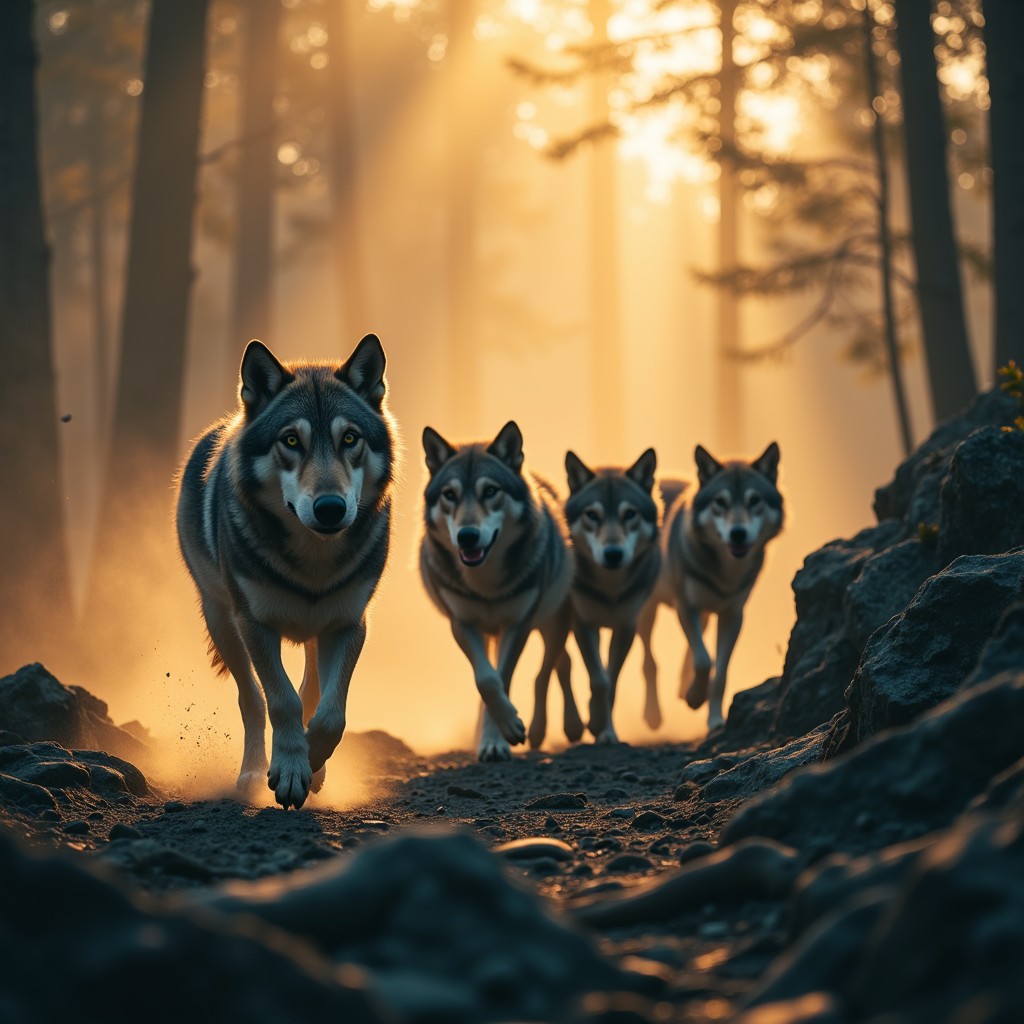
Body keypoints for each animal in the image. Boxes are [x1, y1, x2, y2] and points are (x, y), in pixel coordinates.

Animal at [176, 334, 395, 809]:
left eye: (350, 438)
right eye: (291, 439)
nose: (330, 508)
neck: (314, 561)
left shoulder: (348, 624)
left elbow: (329, 713)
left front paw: (309, 764)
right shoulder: (255, 623)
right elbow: (280, 702)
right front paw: (290, 768)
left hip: (314, 631)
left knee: (311, 690)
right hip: (222, 620)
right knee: (252, 699)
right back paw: (252, 773)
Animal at [419, 421, 578, 761]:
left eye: (490, 491)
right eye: (449, 495)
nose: (467, 536)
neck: (486, 586)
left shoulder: (517, 624)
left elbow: (503, 678)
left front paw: (503, 736)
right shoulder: (462, 623)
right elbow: (487, 679)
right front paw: (493, 737)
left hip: (551, 622)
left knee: (555, 666)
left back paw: (557, 728)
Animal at [534, 448, 661, 746]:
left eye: (629, 514)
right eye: (592, 514)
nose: (613, 554)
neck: (609, 590)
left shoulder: (626, 626)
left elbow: (610, 681)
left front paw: (606, 731)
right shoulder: (584, 623)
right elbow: (599, 679)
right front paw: (594, 722)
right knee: (562, 664)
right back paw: (566, 726)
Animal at [637, 443, 783, 733]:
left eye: (754, 501)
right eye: (720, 502)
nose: (738, 533)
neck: (725, 574)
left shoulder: (732, 614)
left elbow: (720, 671)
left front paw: (714, 719)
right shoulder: (686, 606)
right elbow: (704, 660)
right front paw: (695, 697)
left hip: (702, 614)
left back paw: (684, 685)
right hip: (648, 611)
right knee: (650, 662)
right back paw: (654, 714)